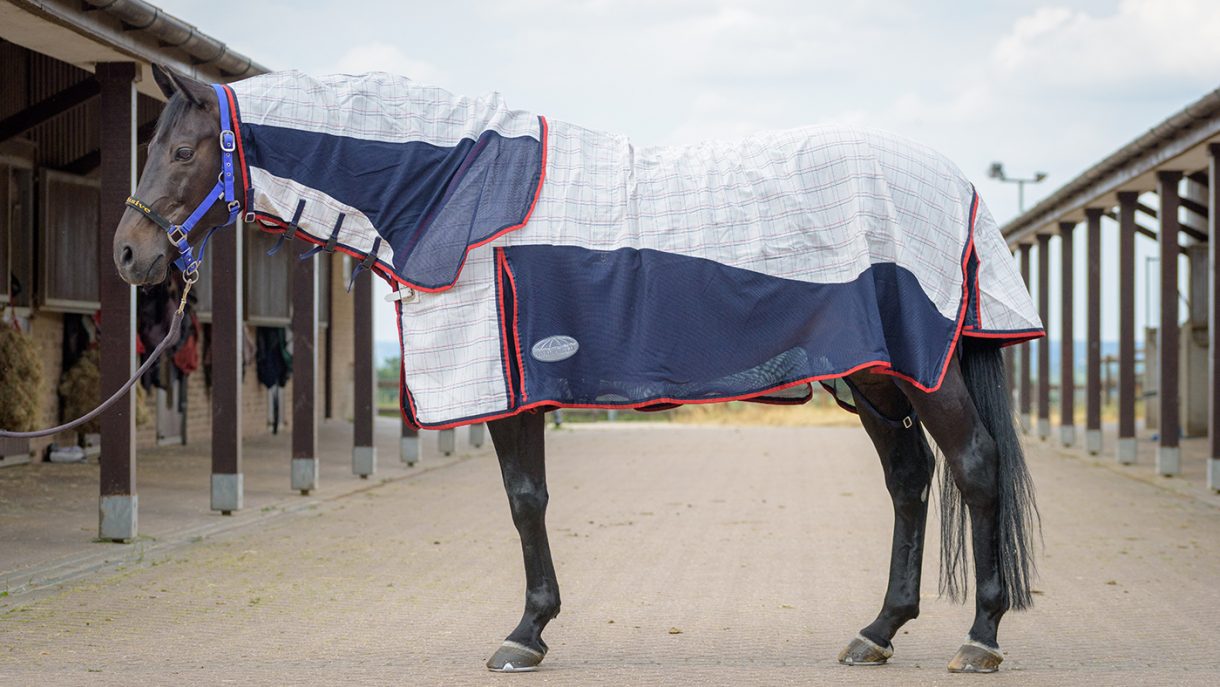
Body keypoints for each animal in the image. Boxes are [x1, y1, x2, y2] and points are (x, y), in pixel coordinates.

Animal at [112, 65, 1040, 674]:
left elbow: (526, 501)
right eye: (152, 143)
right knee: (911, 478)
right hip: (876, 376)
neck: (453, 186)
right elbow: (529, 500)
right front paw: (534, 625)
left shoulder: (508, 383)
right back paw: (877, 630)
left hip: (923, 370)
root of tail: (958, 183)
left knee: (975, 466)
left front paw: (525, 632)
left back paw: (980, 635)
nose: (129, 254)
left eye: (185, 150)